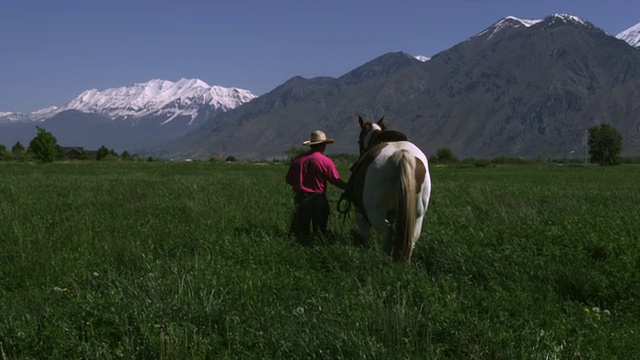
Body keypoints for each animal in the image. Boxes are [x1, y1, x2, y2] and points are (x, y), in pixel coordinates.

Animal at [344, 116, 430, 262]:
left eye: (359, 140)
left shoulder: (360, 212)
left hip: (375, 212)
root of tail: (401, 154)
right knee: (411, 237)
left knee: (388, 231)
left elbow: (365, 235)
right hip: (418, 215)